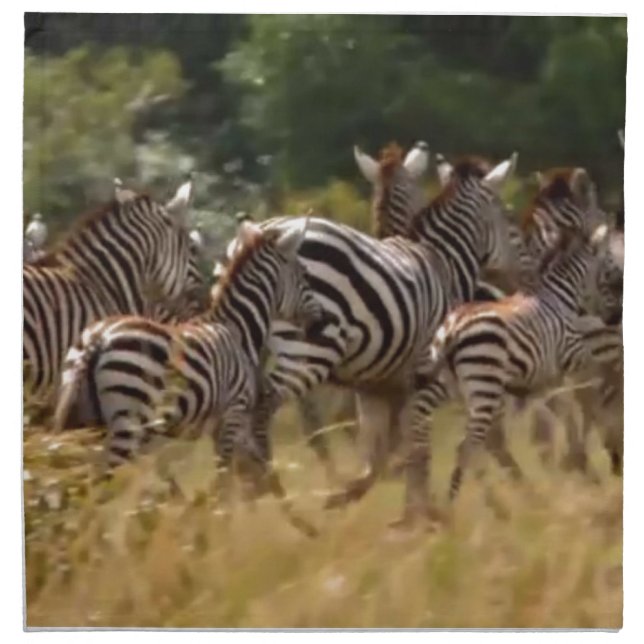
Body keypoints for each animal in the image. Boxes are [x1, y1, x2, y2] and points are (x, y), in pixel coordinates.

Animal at [52, 219, 333, 510]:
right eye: (304, 274)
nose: (323, 322)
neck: (237, 328)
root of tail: (98, 338)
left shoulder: (226, 421)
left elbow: (247, 469)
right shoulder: (233, 411)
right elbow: (225, 478)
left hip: (84, 421)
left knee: (74, 486)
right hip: (126, 423)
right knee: (97, 486)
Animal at [397, 221, 616, 525]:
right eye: (607, 270)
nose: (612, 316)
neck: (558, 297)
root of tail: (452, 329)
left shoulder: (542, 377)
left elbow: (556, 413)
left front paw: (571, 459)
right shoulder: (572, 357)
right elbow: (588, 398)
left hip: (457, 386)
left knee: (468, 442)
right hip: (484, 385)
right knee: (468, 446)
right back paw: (455, 509)